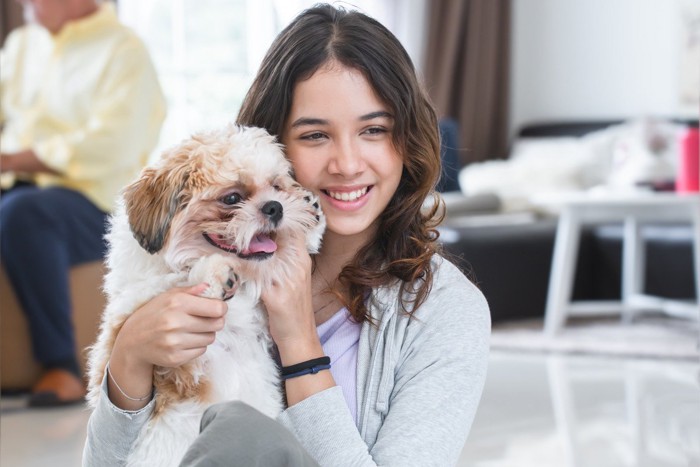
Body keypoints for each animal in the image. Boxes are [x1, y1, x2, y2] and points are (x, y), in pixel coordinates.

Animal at [87, 124, 326, 467]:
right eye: (232, 198)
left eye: (276, 187)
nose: (275, 206)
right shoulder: (131, 312)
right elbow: (172, 284)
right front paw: (213, 273)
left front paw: (311, 219)